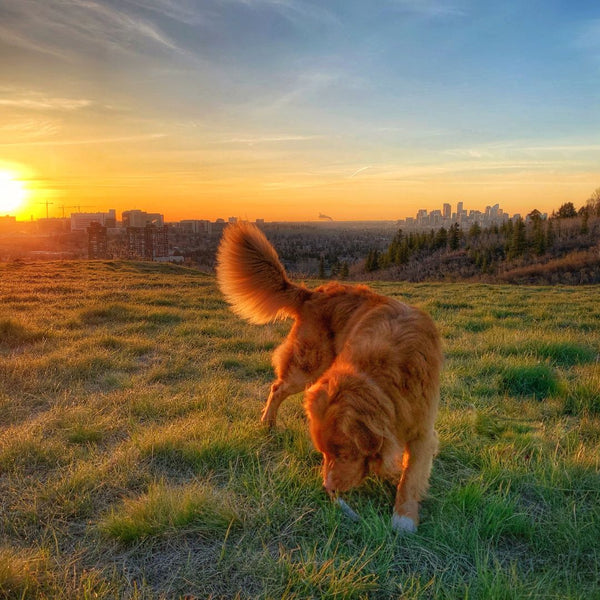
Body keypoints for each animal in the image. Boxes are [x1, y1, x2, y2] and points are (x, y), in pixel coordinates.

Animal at [216, 223, 440, 532]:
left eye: (343, 454)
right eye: (323, 453)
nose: (327, 489)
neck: (384, 377)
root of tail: (313, 293)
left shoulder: (422, 427)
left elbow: (412, 474)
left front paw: (404, 516)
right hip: (307, 367)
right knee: (277, 387)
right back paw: (268, 422)